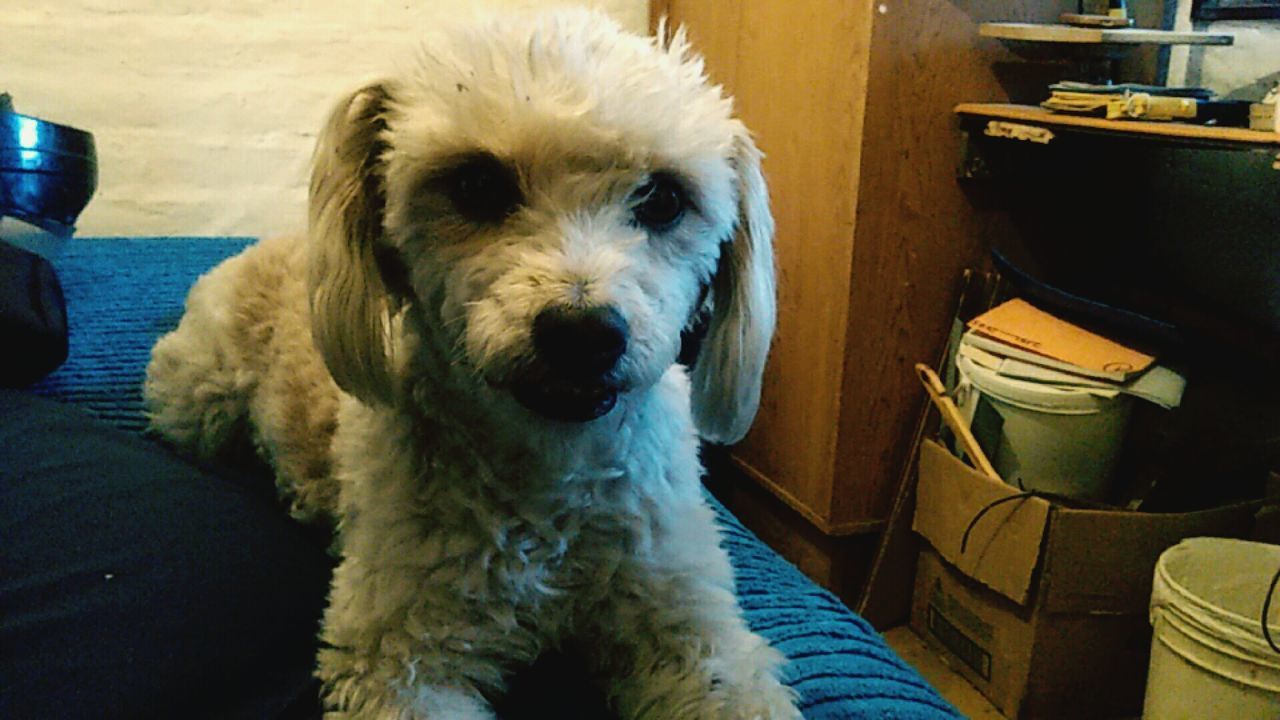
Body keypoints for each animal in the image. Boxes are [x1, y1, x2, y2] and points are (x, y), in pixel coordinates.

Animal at [145, 7, 793, 717]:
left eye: (664, 199)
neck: (551, 473)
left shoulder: (694, 631)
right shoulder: (398, 662)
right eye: (477, 184)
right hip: (194, 403)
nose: (584, 334)